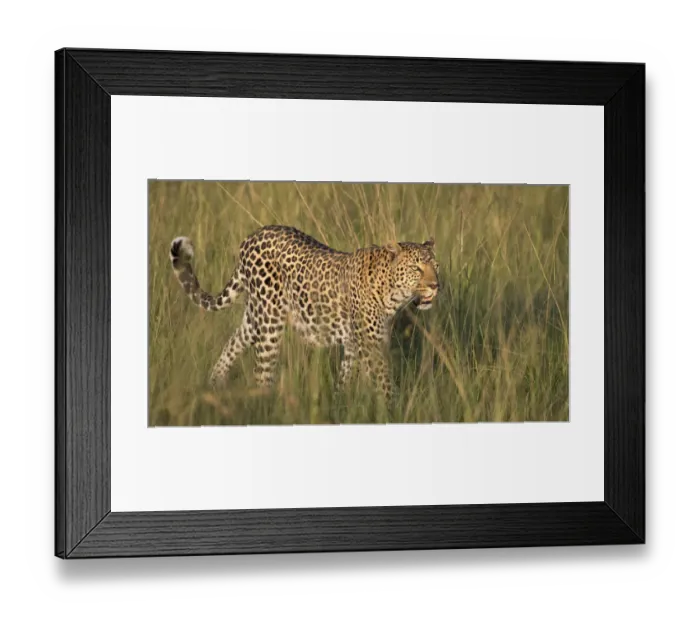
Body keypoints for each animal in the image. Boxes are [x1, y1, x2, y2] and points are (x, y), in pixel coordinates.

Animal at [169, 224, 440, 401]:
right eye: (417, 268)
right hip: (269, 324)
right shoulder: (370, 344)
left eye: (436, 267)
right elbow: (384, 384)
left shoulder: (357, 344)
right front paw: (394, 407)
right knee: (262, 372)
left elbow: (347, 380)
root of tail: (251, 237)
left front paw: (343, 403)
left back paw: (214, 383)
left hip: (255, 317)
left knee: (235, 341)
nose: (436, 285)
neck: (391, 293)